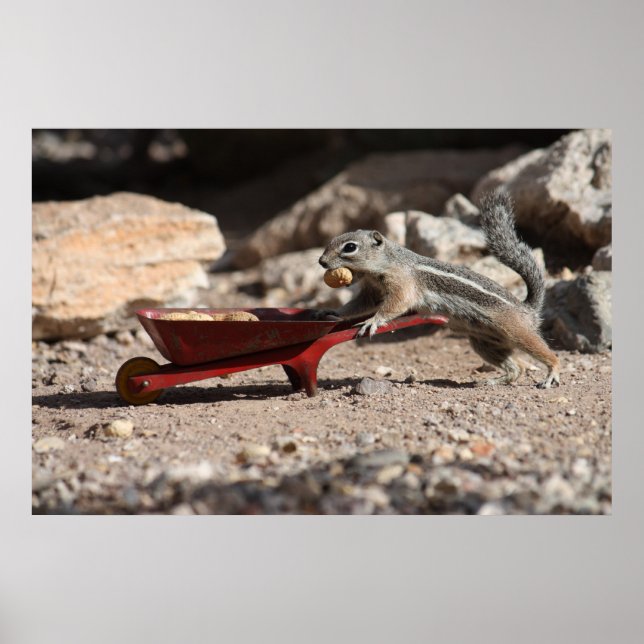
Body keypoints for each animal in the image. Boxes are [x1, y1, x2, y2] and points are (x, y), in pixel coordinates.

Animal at [317, 189, 560, 388]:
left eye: (350, 247)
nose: (321, 261)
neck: (384, 264)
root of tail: (528, 309)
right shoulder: (371, 290)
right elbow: (358, 305)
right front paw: (332, 313)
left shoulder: (402, 283)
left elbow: (395, 305)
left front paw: (372, 321)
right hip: (484, 342)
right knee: (517, 367)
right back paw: (492, 381)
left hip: (516, 331)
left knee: (547, 354)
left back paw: (551, 374)